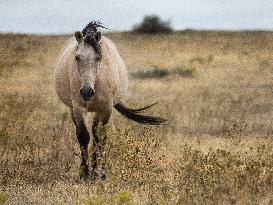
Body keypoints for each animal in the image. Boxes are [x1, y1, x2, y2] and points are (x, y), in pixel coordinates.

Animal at [54, 21, 166, 181]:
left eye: (98, 57)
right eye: (77, 57)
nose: (87, 92)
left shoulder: (106, 108)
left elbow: (101, 137)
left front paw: (98, 173)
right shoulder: (78, 107)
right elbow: (83, 136)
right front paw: (85, 173)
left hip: (100, 110)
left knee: (97, 132)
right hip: (74, 109)